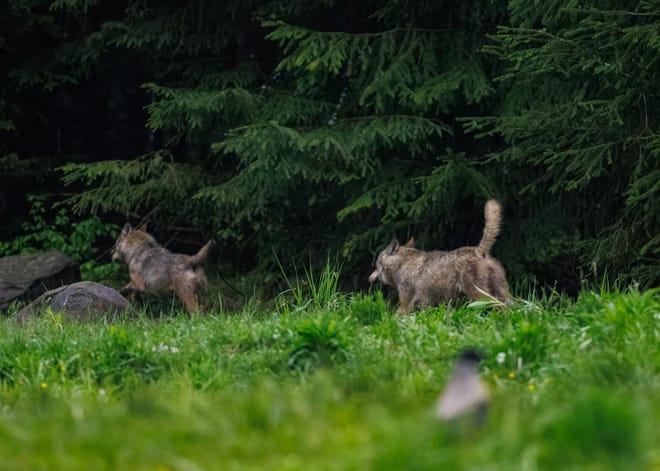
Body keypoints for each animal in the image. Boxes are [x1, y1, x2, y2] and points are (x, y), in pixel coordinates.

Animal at [368, 200, 510, 314]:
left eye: (376, 263)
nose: (369, 278)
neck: (402, 265)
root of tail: (479, 251)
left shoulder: (405, 305)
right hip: (503, 293)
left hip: (480, 295)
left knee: (497, 306)